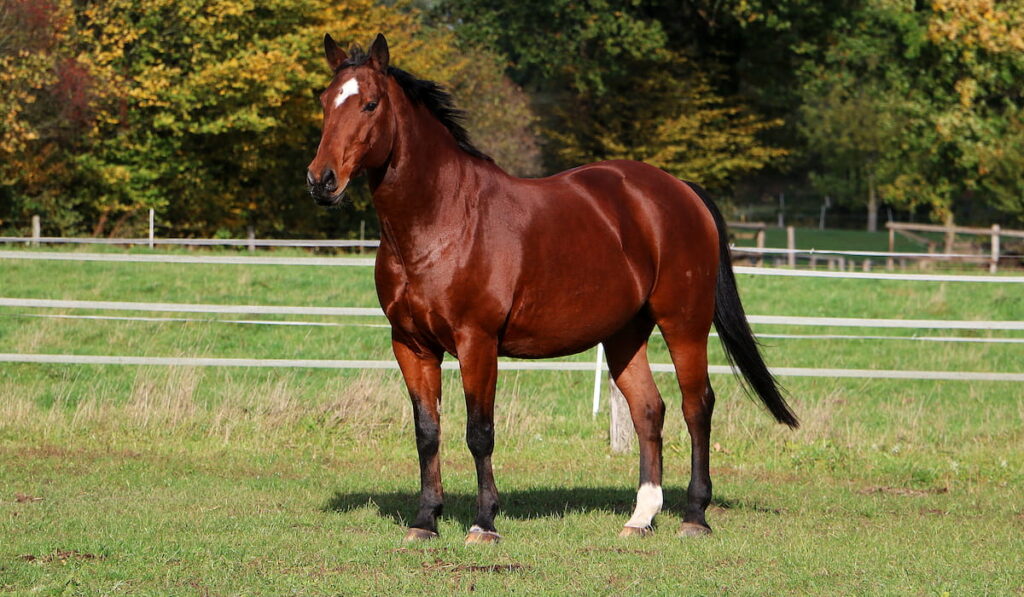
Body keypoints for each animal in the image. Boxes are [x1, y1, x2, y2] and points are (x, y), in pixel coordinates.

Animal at [305, 33, 798, 544]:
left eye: (370, 104)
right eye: (324, 101)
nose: (321, 181)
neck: (443, 219)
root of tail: (680, 190)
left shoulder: (476, 342)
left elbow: (479, 432)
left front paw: (484, 522)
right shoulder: (411, 344)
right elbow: (428, 432)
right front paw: (425, 520)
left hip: (685, 323)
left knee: (696, 406)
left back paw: (694, 515)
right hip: (625, 334)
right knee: (649, 410)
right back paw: (641, 517)